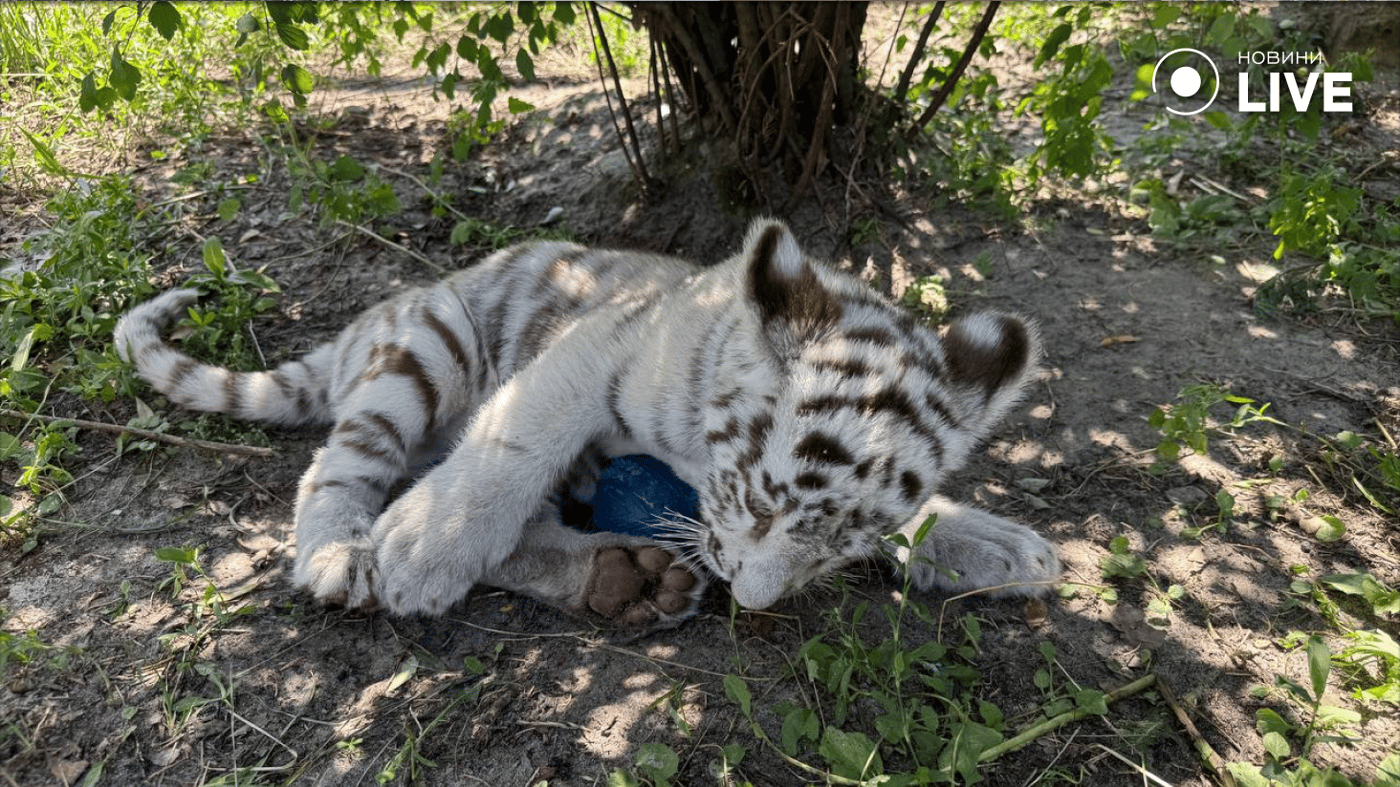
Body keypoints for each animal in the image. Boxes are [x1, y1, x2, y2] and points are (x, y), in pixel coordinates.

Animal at [114, 219, 1061, 627]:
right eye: (757, 506)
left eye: (840, 547)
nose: (749, 600)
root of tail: (365, 324)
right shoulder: (593, 353)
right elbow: (512, 445)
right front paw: (419, 550)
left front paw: (993, 546)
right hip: (430, 344)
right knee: (340, 464)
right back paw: (348, 554)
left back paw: (624, 577)